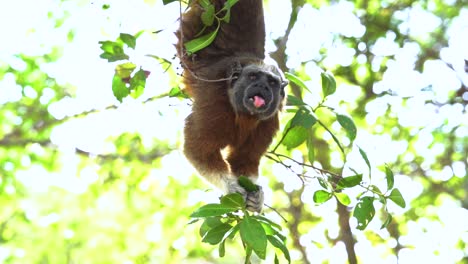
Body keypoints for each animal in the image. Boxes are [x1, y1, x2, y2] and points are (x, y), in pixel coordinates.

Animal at [176, 0, 288, 211]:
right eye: (253, 77)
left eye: (271, 83)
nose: (262, 86)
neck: (244, 114)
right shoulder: (215, 105)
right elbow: (198, 149)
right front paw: (232, 187)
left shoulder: (269, 121)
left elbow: (244, 159)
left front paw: (257, 197)